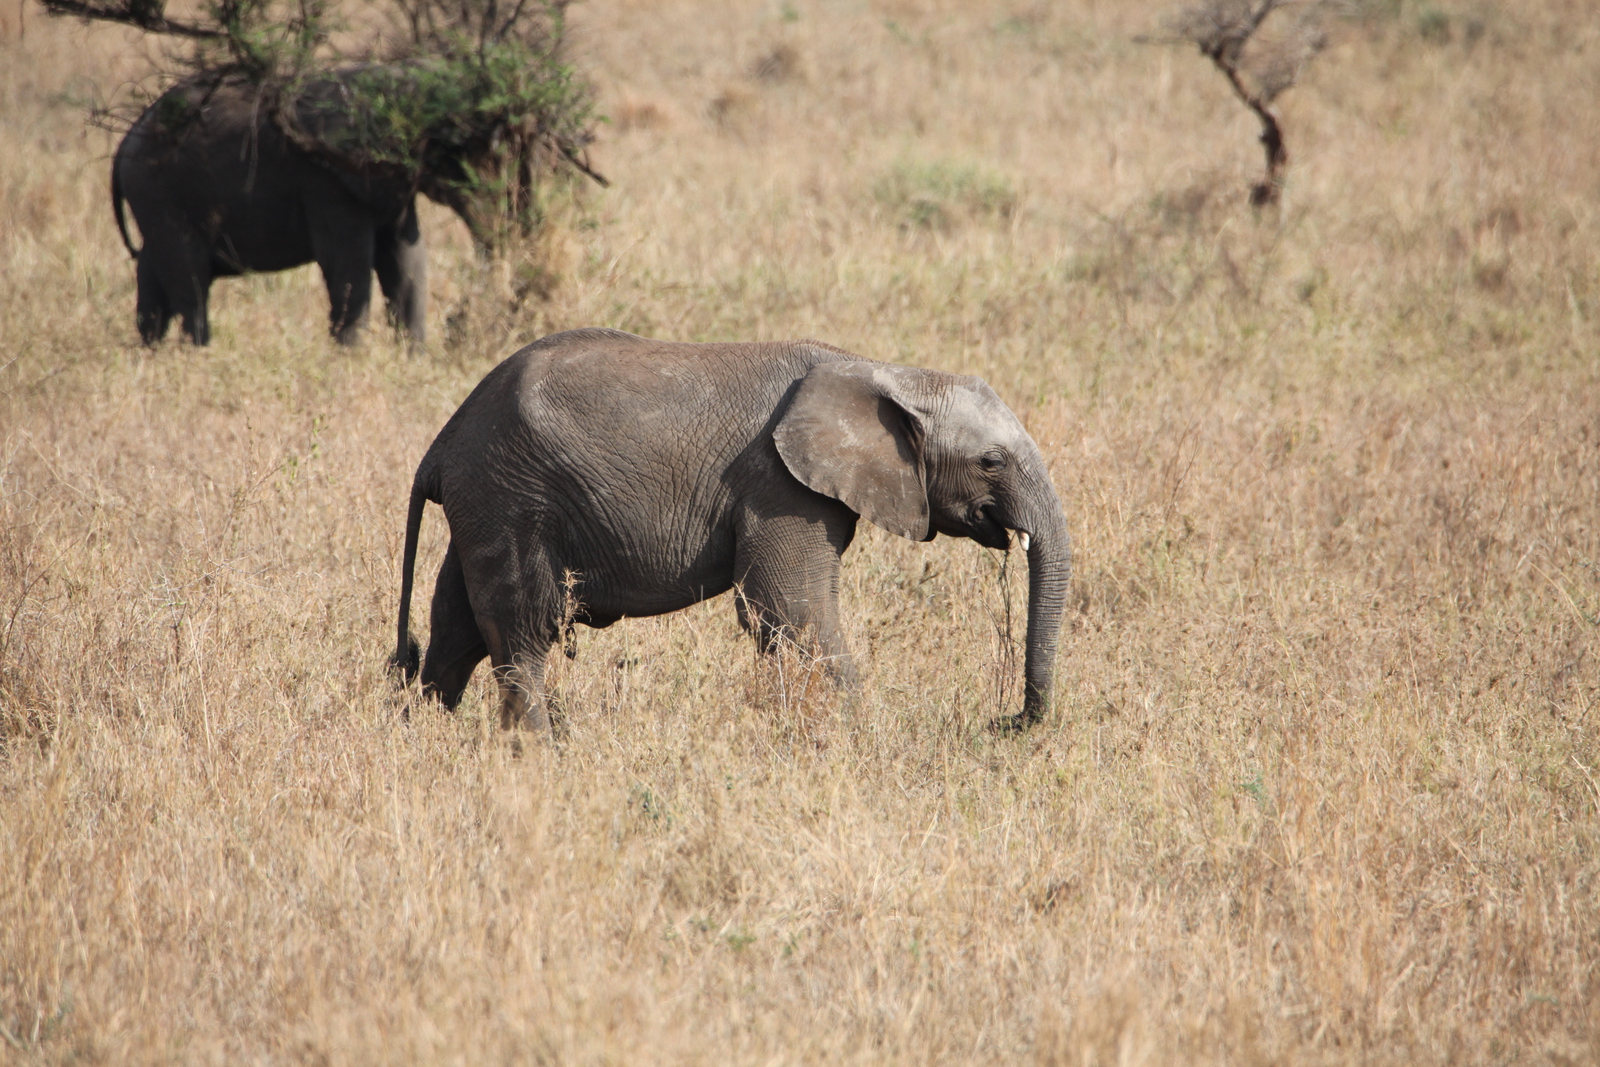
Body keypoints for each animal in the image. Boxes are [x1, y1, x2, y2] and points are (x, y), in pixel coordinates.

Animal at [108, 73, 483, 343]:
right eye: (453, 148)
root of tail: (126, 140)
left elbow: (406, 263)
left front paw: (413, 358)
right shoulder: (325, 178)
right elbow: (347, 265)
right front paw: (350, 358)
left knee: (153, 278)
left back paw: (152, 353)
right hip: (158, 191)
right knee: (190, 282)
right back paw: (198, 354)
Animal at [395, 331, 1075, 735]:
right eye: (991, 461)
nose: (1003, 721)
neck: (882, 371)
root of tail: (441, 445)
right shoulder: (779, 485)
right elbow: (791, 608)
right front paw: (852, 735)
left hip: (486, 502)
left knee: (456, 624)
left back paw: (423, 734)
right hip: (509, 495)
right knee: (522, 630)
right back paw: (541, 750)